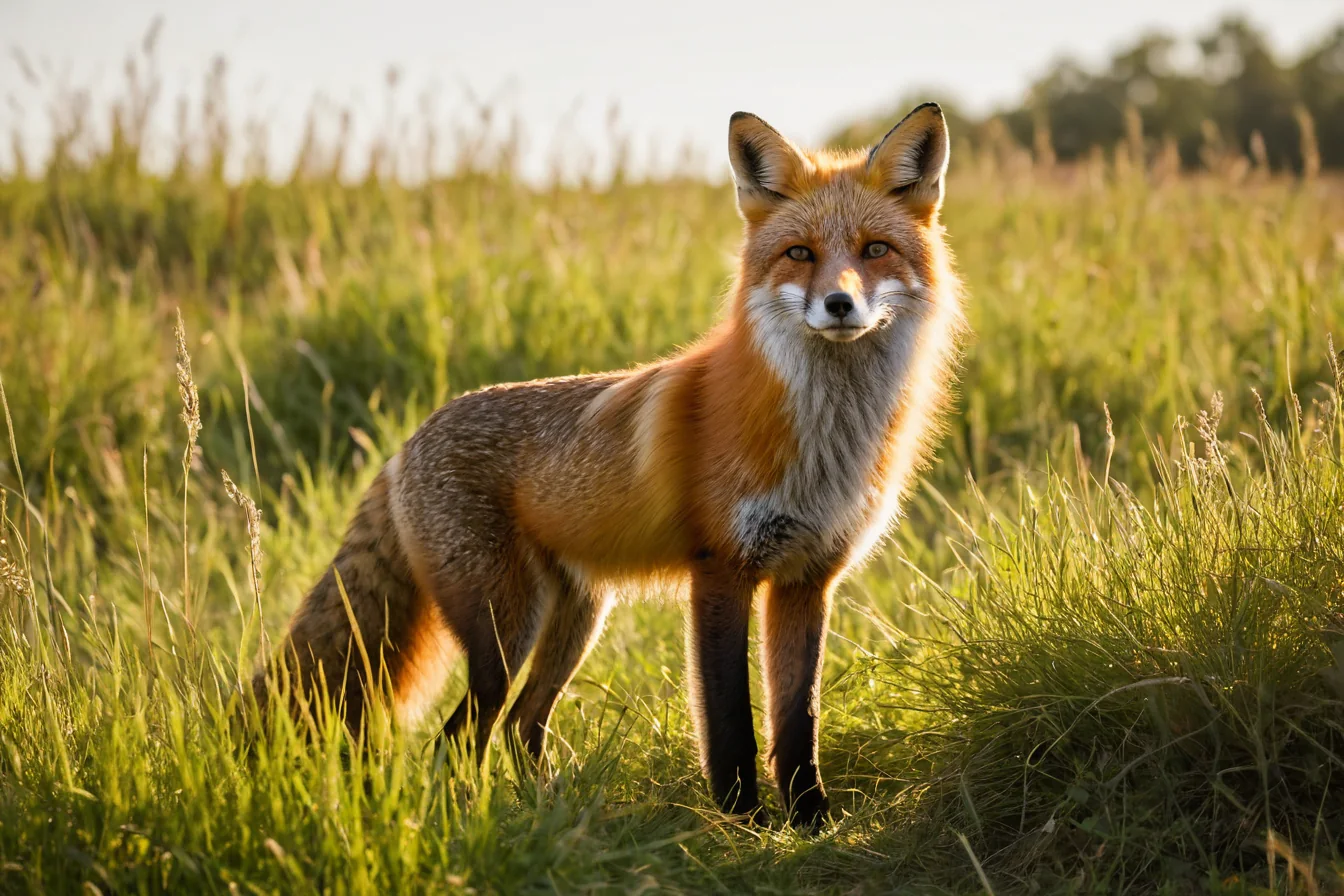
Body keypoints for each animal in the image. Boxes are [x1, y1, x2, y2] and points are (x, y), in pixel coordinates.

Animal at [254, 102, 964, 829]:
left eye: (874, 250)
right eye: (800, 254)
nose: (839, 305)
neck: (823, 442)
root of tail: (407, 441)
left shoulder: (807, 580)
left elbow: (799, 720)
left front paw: (810, 820)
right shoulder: (721, 570)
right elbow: (730, 721)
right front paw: (743, 819)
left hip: (575, 618)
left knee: (520, 727)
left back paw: (552, 815)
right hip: (504, 632)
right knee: (458, 739)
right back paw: (473, 821)